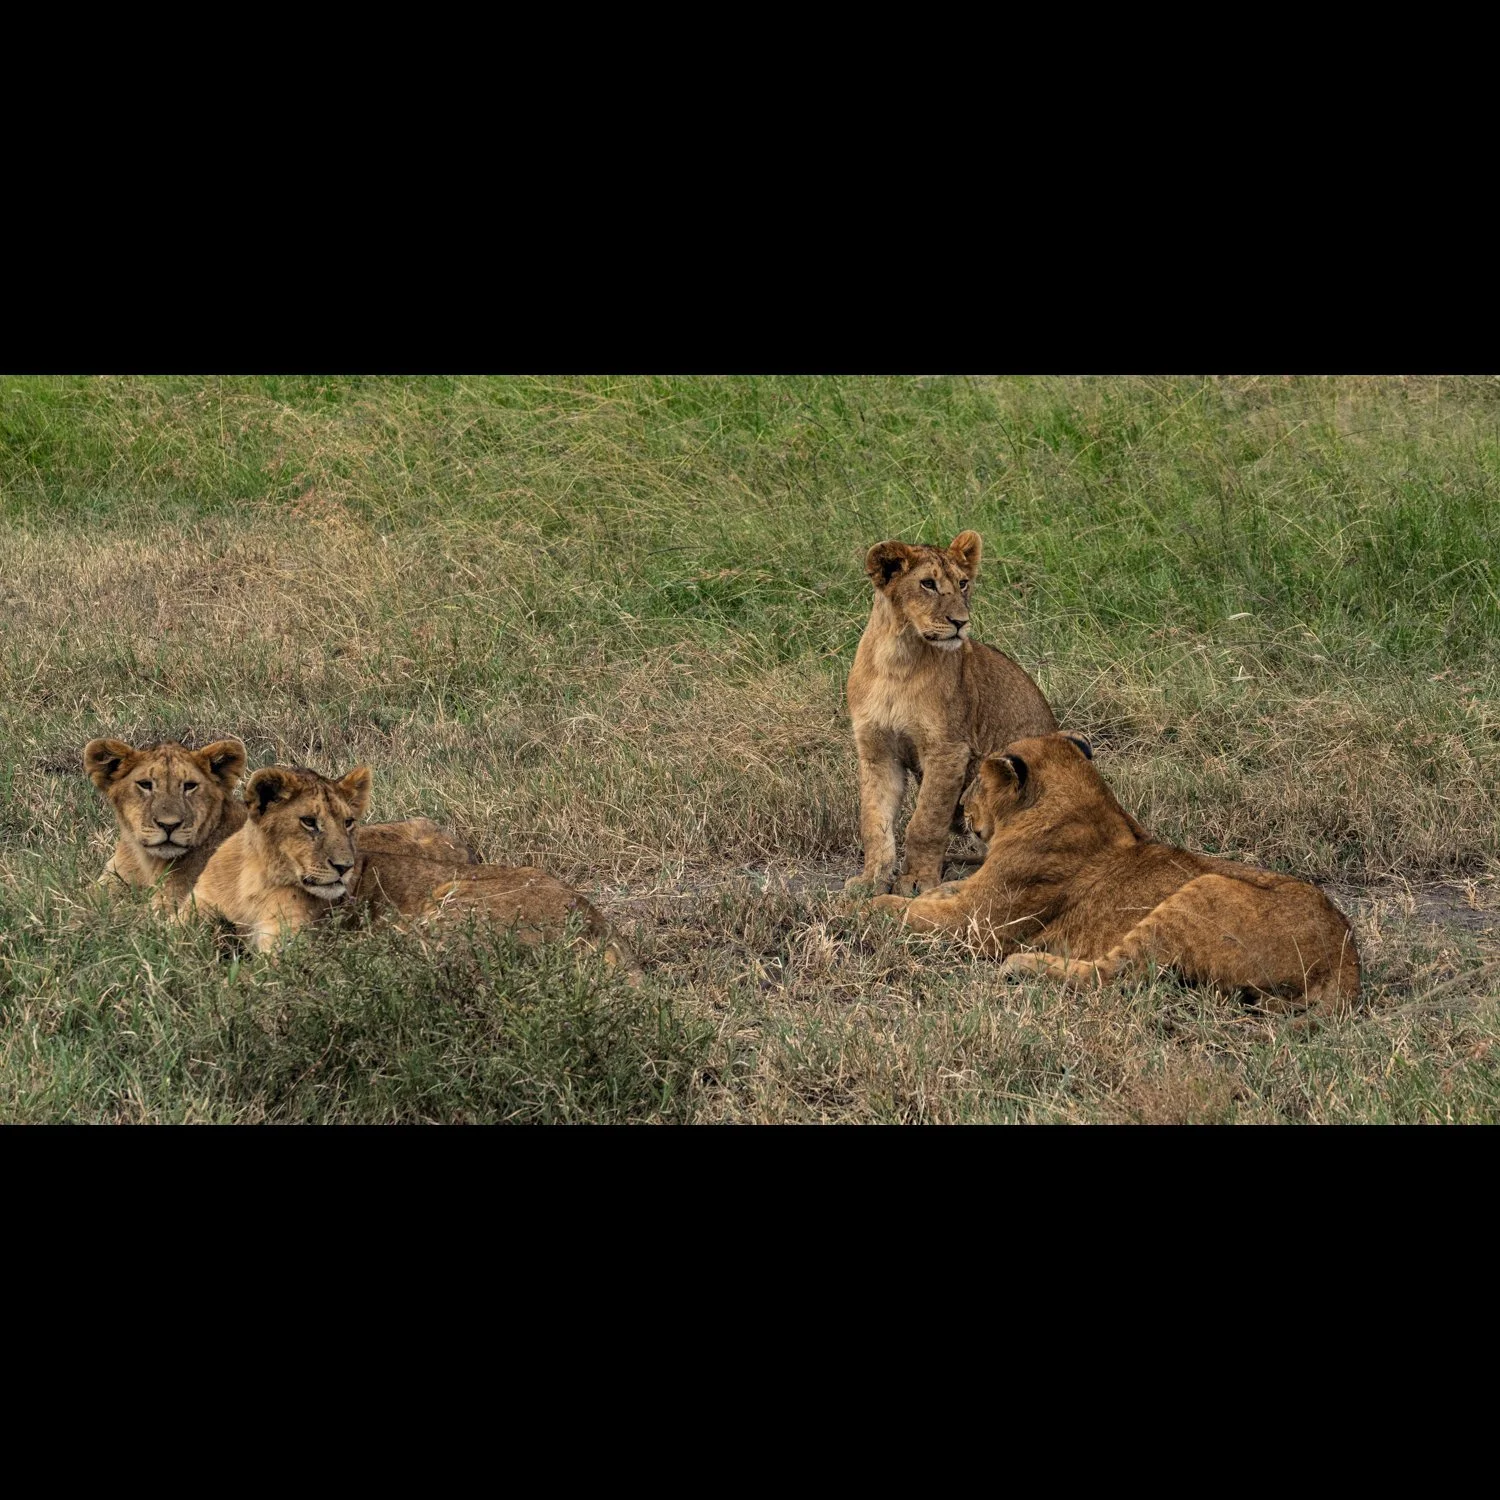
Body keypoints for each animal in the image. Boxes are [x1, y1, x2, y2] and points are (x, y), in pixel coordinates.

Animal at [184, 762, 640, 980]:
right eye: (309, 822)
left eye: (348, 822)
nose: (345, 867)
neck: (255, 878)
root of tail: (598, 921)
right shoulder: (193, 910)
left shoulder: (287, 949)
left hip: (445, 904)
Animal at [845, 531, 1057, 897]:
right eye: (928, 584)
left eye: (963, 583)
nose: (961, 622)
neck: (896, 658)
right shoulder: (876, 750)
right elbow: (873, 820)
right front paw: (871, 881)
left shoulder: (948, 750)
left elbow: (925, 821)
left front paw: (916, 881)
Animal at [868, 732, 1361, 1019]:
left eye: (974, 784)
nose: (962, 812)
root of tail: (1347, 958)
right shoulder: (974, 895)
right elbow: (939, 892)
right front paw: (914, 892)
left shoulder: (978, 924)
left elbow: (905, 913)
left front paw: (863, 905)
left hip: (1199, 891)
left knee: (1110, 977)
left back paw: (1022, 967)